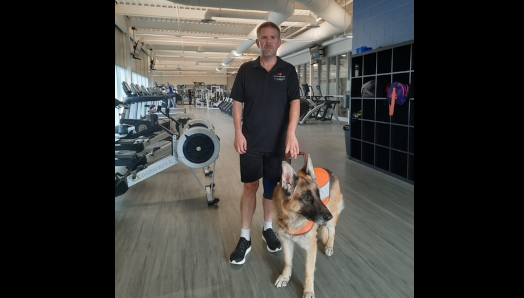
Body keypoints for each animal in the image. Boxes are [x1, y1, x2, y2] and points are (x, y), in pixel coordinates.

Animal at [274, 154, 344, 298]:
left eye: (318, 195)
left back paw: (329, 246)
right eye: (306, 197)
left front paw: (308, 291)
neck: (293, 218)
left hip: (331, 218)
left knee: (332, 231)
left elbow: (308, 271)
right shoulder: (286, 242)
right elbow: (288, 261)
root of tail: (328, 170)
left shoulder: (311, 247)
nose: (329, 216)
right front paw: (285, 277)